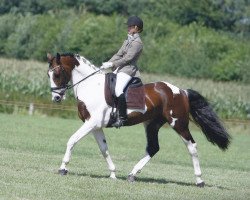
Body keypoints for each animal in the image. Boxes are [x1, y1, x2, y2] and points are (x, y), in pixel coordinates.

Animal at [46, 52, 230, 187]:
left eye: (57, 73)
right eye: (48, 74)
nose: (56, 97)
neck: (91, 86)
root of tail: (181, 91)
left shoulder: (91, 123)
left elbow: (72, 140)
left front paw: (63, 168)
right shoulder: (96, 126)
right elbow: (104, 149)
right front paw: (113, 173)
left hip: (179, 123)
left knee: (192, 147)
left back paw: (199, 180)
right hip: (152, 125)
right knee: (153, 148)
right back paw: (132, 174)